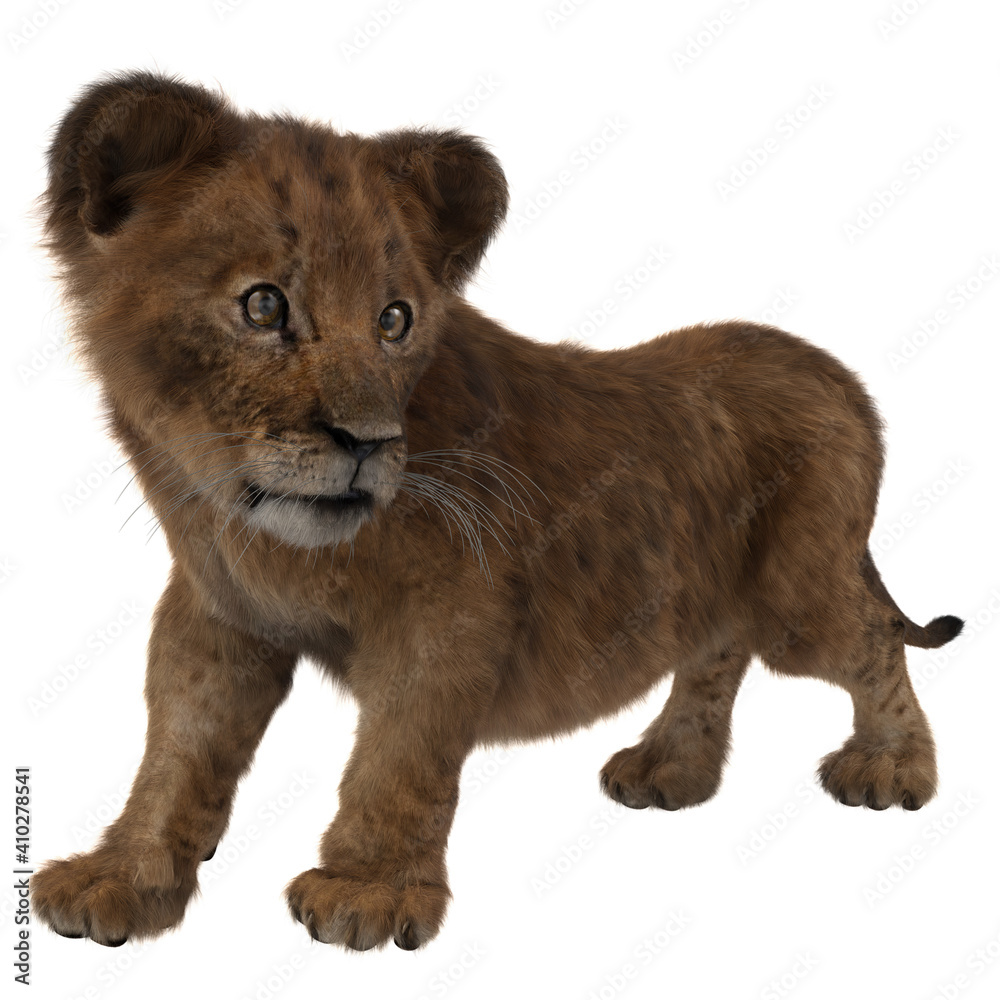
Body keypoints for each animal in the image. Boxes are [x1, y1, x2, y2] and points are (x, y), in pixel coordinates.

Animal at [32, 71, 963, 952]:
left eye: (394, 320)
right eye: (264, 305)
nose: (367, 442)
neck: (258, 534)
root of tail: (838, 374)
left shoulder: (449, 608)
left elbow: (400, 752)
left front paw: (368, 892)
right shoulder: (219, 615)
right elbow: (178, 750)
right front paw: (122, 878)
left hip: (799, 593)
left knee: (870, 642)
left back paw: (890, 770)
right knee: (715, 652)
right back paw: (670, 769)